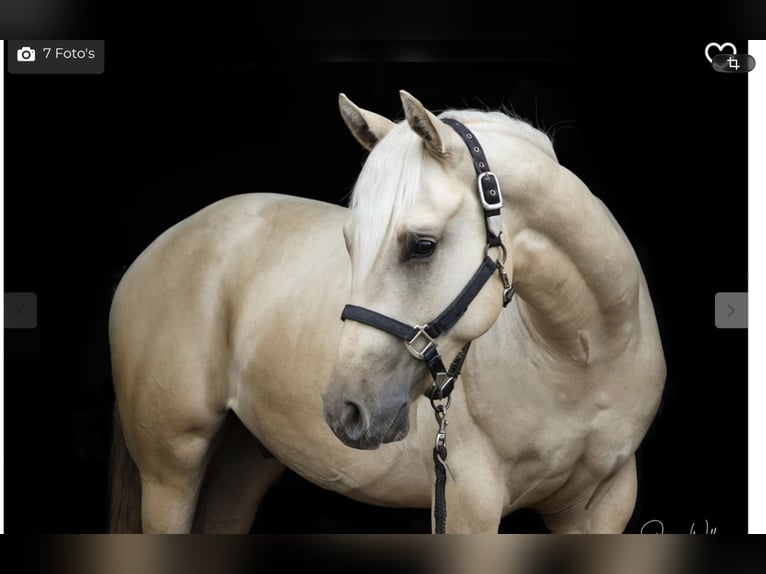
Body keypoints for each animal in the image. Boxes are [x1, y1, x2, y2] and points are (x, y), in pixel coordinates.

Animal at [109, 90, 666, 533]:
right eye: (349, 242)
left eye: (422, 245)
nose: (344, 411)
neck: (579, 358)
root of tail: (155, 251)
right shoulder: (467, 506)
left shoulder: (605, 505)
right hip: (170, 471)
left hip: (239, 468)